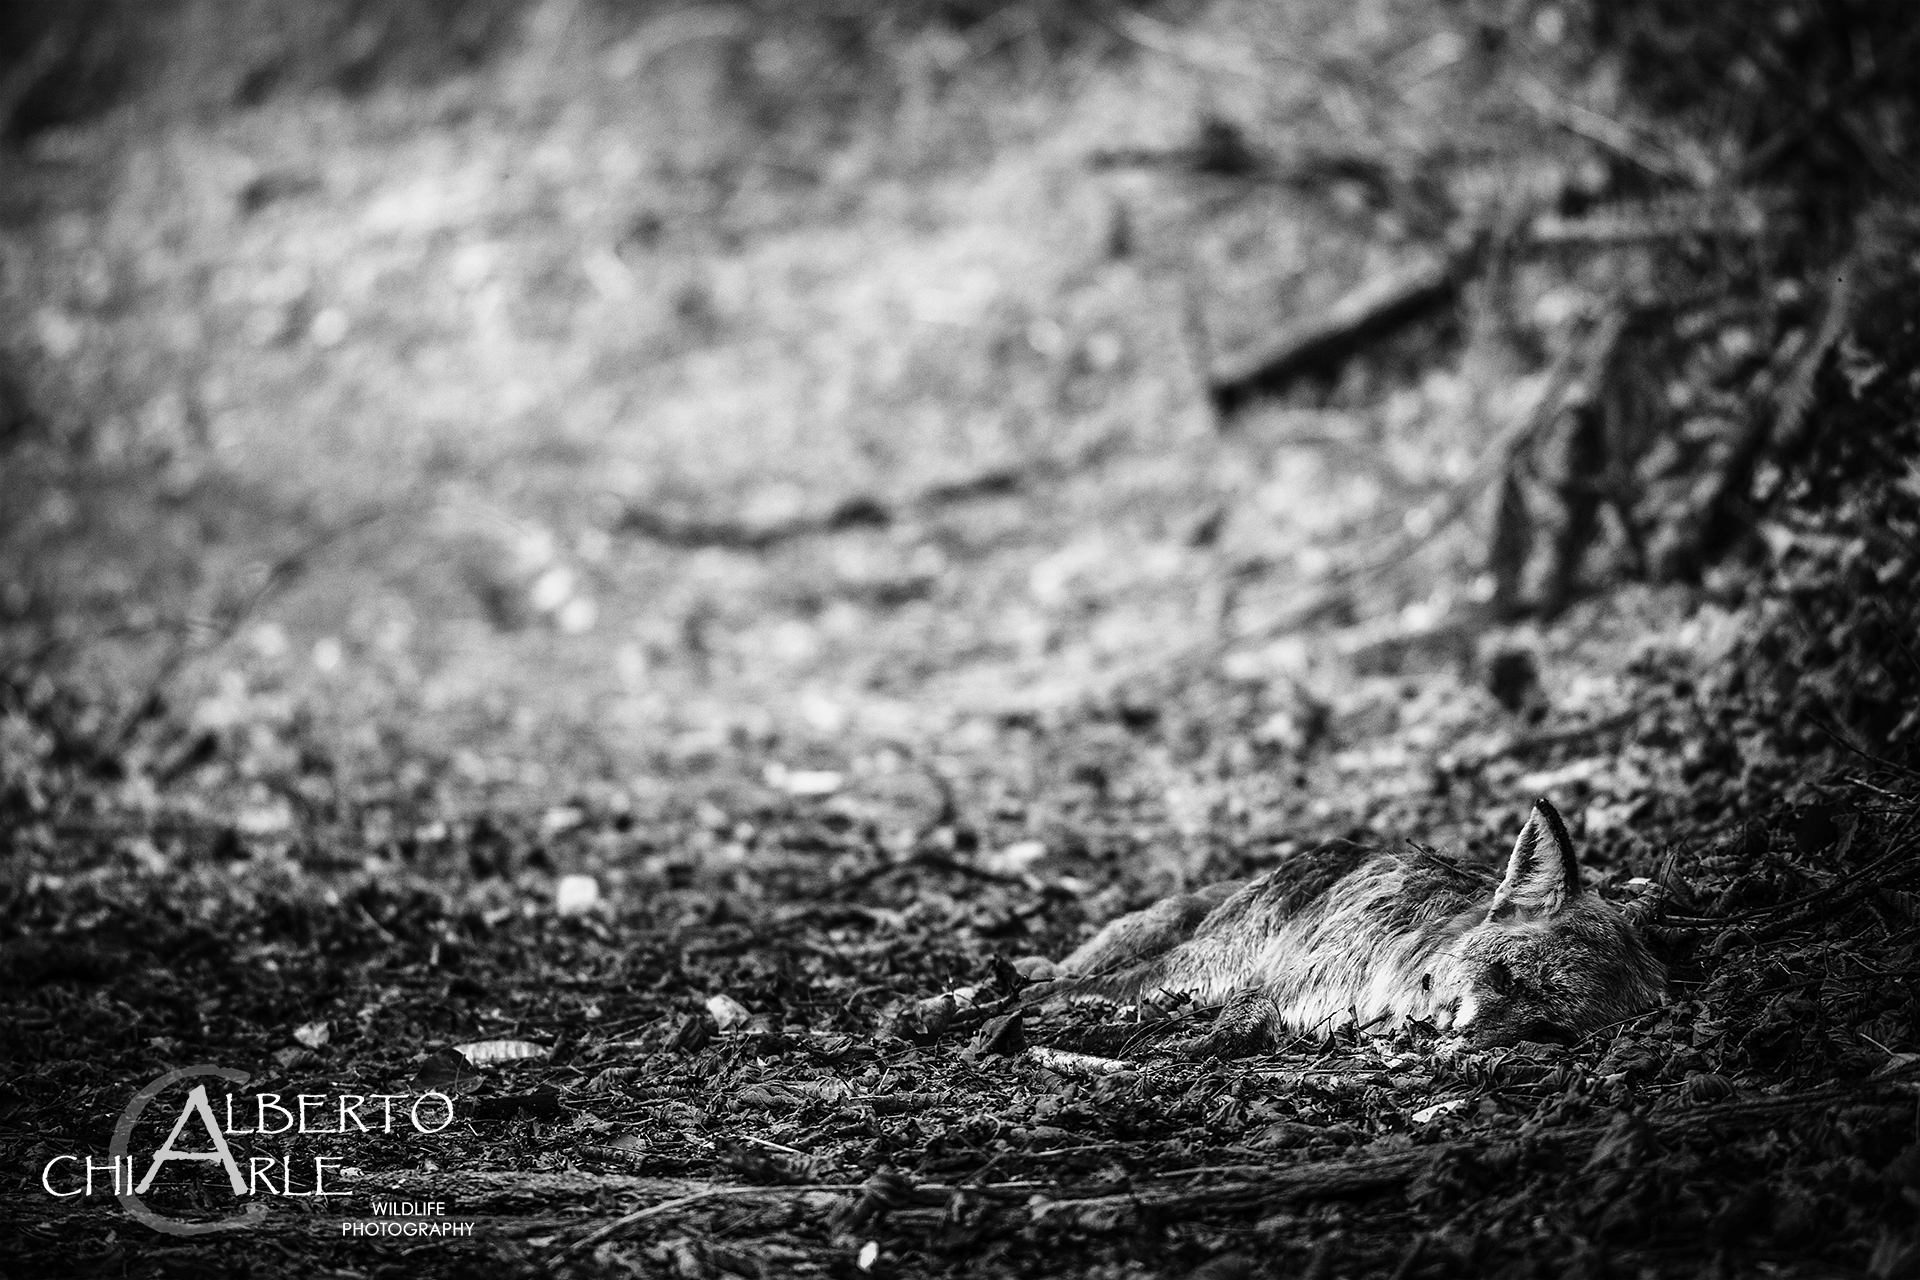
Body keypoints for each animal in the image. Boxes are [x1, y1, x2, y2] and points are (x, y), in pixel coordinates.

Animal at [1028, 798, 1664, 1053]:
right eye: (1505, 976)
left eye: (1547, 1028)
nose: (1457, 1040)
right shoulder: (1280, 982)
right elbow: (1236, 1023)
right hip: (1204, 962)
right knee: (1095, 977)